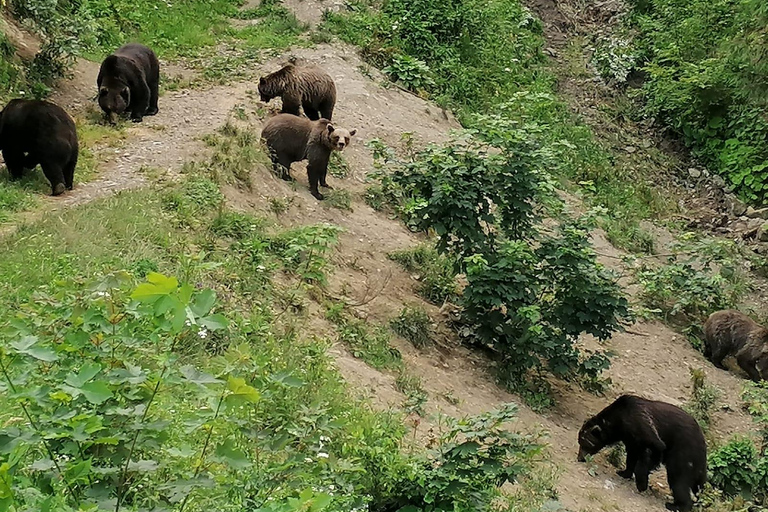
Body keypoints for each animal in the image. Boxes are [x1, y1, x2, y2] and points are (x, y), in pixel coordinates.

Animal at [577, 394, 707, 512]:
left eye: (585, 444)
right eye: (579, 441)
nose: (579, 458)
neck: (619, 420)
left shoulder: (642, 424)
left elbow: (654, 450)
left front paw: (641, 484)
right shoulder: (630, 437)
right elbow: (631, 456)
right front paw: (623, 472)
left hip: (683, 454)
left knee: (678, 480)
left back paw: (676, 505)